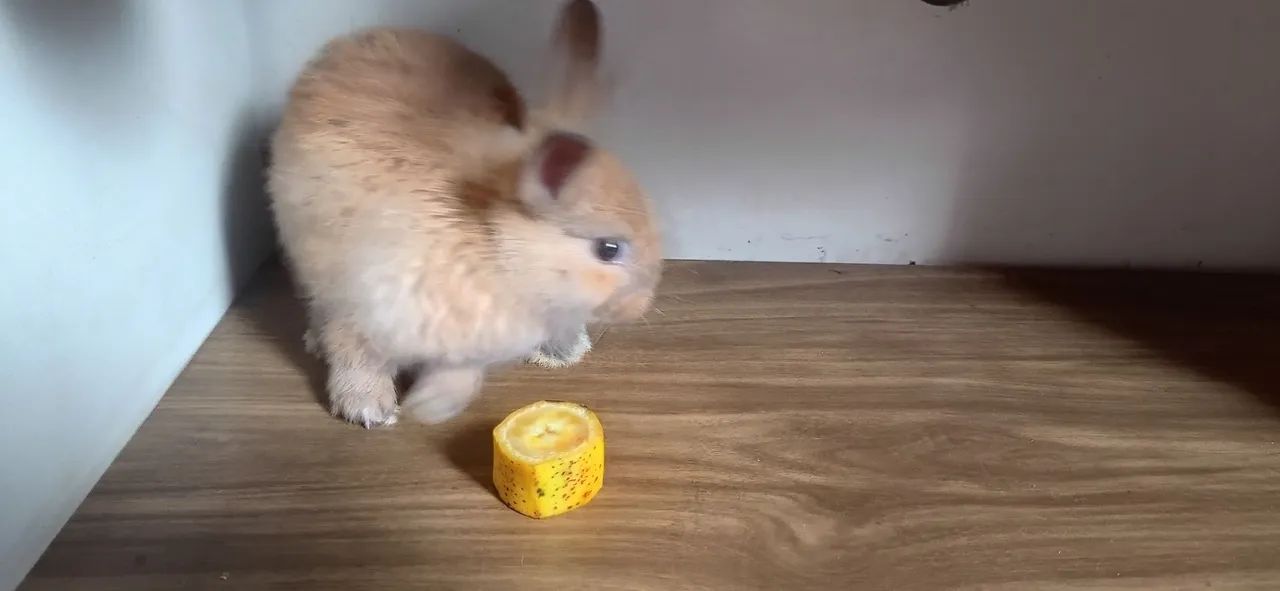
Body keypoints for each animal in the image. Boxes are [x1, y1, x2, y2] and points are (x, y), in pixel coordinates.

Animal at [267, 0, 662, 428]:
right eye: (609, 249)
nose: (640, 307)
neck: (495, 245)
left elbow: (461, 373)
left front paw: (433, 403)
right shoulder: (364, 305)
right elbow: (355, 354)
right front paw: (371, 409)